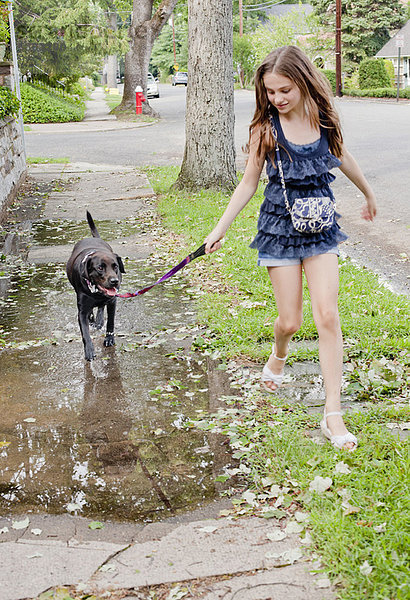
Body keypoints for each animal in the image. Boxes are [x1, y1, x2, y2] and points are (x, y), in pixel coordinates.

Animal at [66, 211, 125, 360]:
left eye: (115, 266)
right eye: (100, 268)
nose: (114, 281)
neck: (96, 292)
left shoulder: (112, 301)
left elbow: (110, 322)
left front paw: (109, 339)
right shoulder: (81, 310)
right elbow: (85, 332)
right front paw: (89, 350)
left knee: (101, 308)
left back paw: (98, 320)